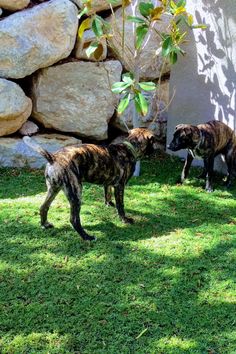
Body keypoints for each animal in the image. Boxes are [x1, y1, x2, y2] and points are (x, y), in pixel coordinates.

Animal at [23, 129, 159, 242]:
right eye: (153, 141)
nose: (155, 150)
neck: (129, 148)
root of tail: (54, 158)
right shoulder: (120, 186)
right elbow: (121, 206)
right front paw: (125, 219)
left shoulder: (108, 183)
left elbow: (107, 195)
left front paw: (109, 204)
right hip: (76, 193)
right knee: (74, 220)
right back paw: (87, 237)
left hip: (53, 189)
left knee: (43, 207)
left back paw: (44, 224)